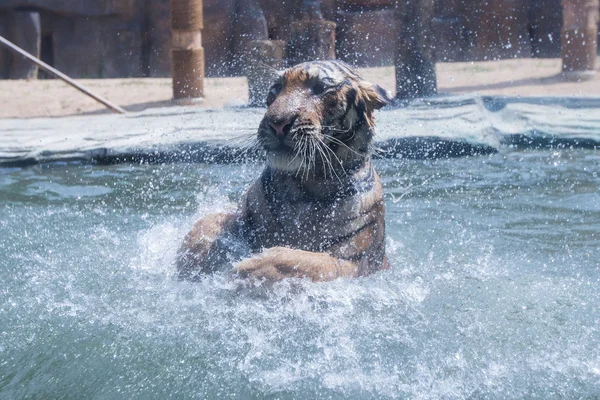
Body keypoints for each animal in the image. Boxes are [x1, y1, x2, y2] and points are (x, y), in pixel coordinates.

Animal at [177, 61, 394, 282]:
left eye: (320, 88)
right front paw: (190, 261)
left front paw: (244, 270)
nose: (277, 123)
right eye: (276, 88)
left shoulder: (356, 263)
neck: (303, 187)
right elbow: (209, 222)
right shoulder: (242, 213)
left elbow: (306, 261)